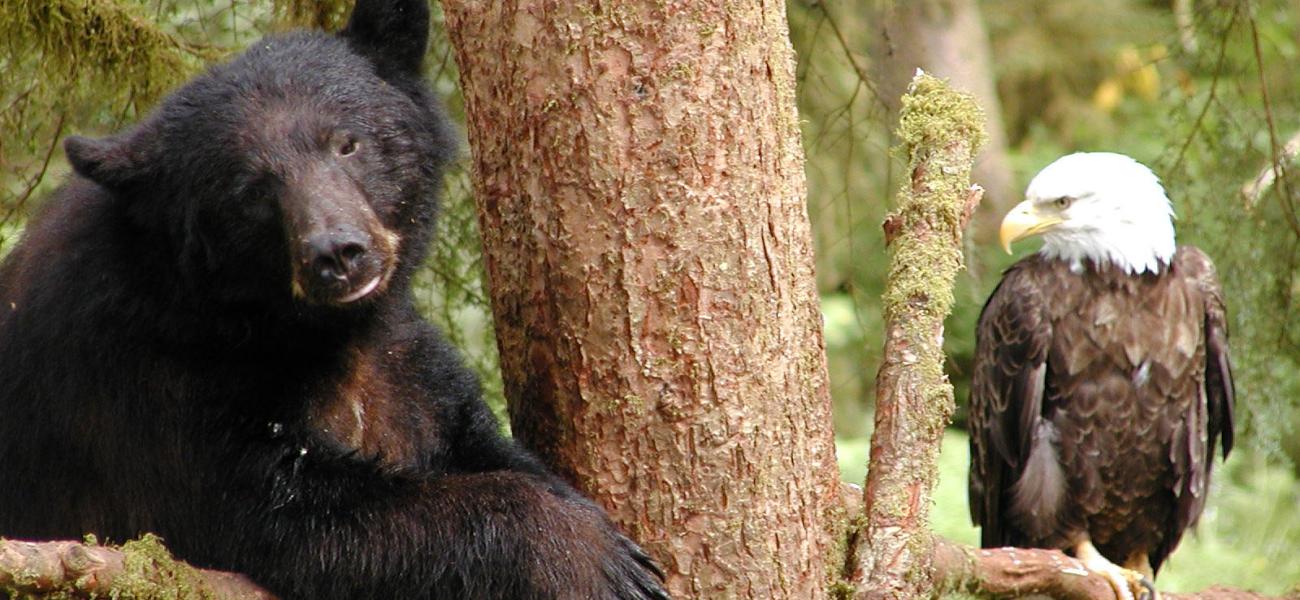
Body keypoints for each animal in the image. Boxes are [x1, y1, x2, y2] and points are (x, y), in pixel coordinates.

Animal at [0, 1, 670, 600]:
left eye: (346, 143)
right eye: (249, 188)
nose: (337, 252)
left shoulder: (405, 360)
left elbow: (474, 436)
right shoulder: (151, 391)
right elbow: (293, 515)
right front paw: (595, 559)